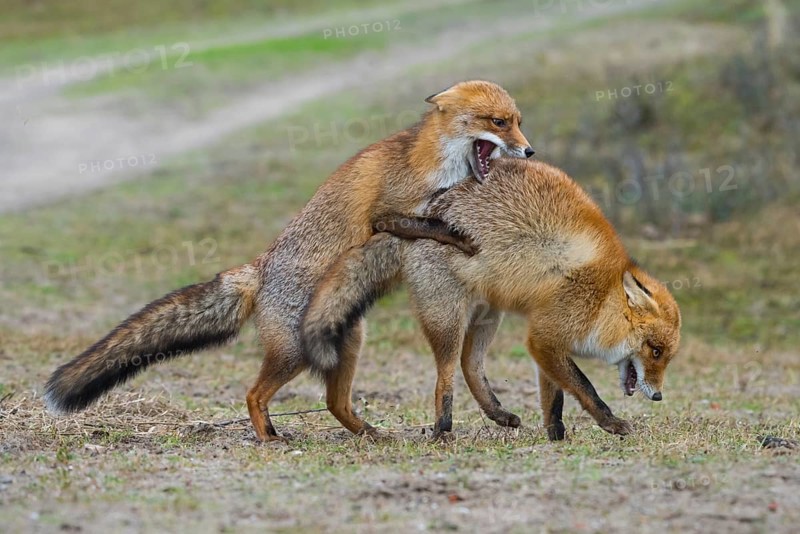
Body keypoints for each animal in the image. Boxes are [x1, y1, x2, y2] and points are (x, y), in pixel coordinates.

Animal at [44, 80, 534, 442]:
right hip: (295, 350)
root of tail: (258, 268)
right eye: (498, 122)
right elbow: (424, 223)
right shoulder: (387, 211)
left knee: (336, 402)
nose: (529, 151)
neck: (437, 162)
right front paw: (458, 237)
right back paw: (268, 436)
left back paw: (368, 433)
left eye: (517, 122)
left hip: (348, 340)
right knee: (253, 393)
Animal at [302, 158, 681, 440]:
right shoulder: (546, 337)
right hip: (448, 320)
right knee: (446, 376)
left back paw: (497, 413)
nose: (659, 396)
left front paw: (555, 435)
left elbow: (554, 397)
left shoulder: (546, 341)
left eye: (665, 356)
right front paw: (611, 423)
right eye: (655, 351)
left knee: (470, 365)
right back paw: (443, 430)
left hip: (488, 315)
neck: (602, 296)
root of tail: (420, 219)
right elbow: (584, 388)